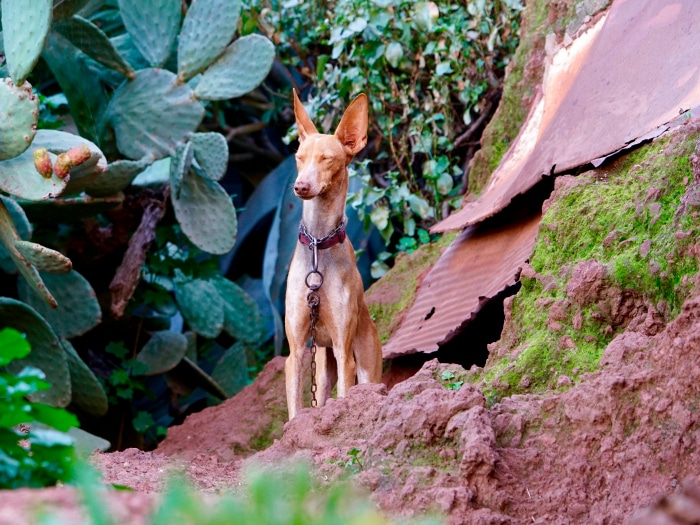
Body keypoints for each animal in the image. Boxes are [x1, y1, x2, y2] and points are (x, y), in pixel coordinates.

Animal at [284, 88, 382, 420]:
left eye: (327, 159)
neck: (318, 245)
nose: (300, 186)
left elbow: (344, 396)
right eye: (299, 159)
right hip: (321, 366)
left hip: (365, 364)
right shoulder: (295, 352)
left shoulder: (343, 351)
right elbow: (295, 410)